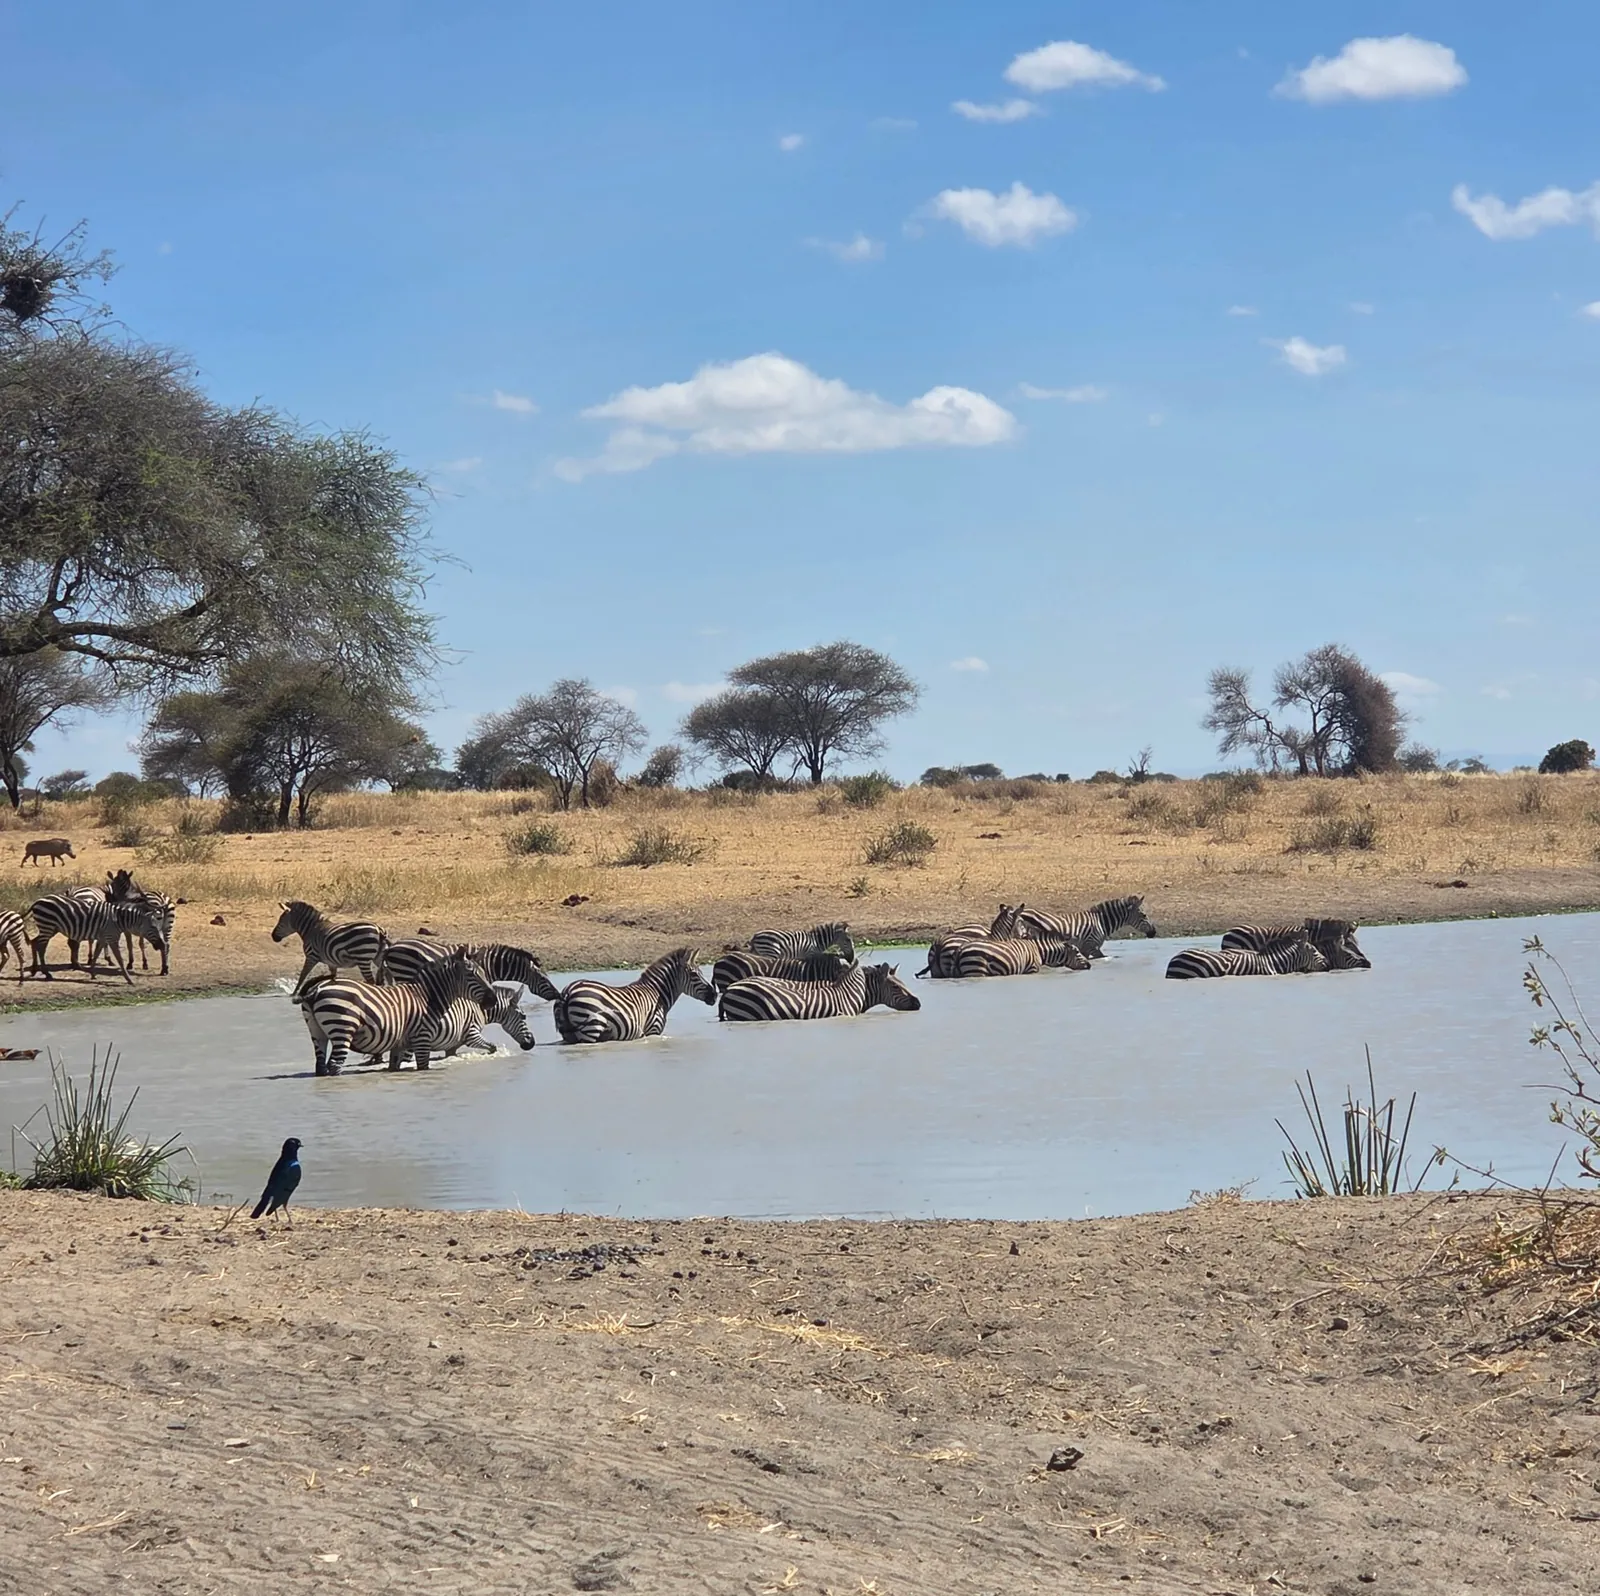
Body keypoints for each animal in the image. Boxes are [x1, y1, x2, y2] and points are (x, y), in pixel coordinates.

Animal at [27, 894, 165, 984]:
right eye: (153, 927)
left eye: (158, 926)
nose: (162, 945)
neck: (118, 920)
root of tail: (37, 901)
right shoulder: (111, 938)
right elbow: (120, 959)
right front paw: (129, 979)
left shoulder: (103, 938)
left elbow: (96, 954)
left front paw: (92, 974)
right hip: (48, 926)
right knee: (41, 947)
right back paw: (46, 973)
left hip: (51, 928)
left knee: (34, 942)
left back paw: (35, 970)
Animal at [298, 950, 498, 1075]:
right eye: (472, 975)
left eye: (483, 973)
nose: (494, 1000)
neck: (427, 997)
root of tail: (317, 989)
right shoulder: (422, 1039)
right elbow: (423, 1067)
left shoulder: (399, 1044)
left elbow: (394, 1067)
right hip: (342, 1027)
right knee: (335, 1065)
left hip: (317, 1031)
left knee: (321, 1066)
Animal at [553, 948, 716, 1044]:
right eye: (694, 974)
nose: (714, 995)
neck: (658, 994)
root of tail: (568, 991)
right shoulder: (653, 1029)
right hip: (591, 1029)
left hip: (568, 1033)